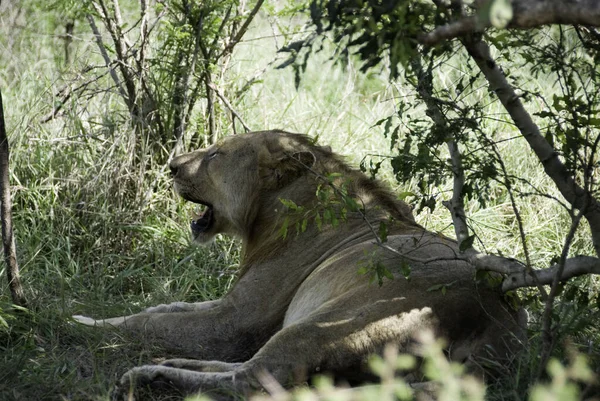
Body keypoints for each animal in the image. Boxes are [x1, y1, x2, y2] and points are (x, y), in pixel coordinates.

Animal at [76, 130, 524, 396]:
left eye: (216, 154)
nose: (169, 166)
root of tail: (500, 323)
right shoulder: (227, 306)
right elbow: (166, 308)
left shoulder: (235, 322)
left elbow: (150, 323)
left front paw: (79, 321)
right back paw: (167, 363)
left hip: (333, 321)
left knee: (252, 380)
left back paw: (149, 375)